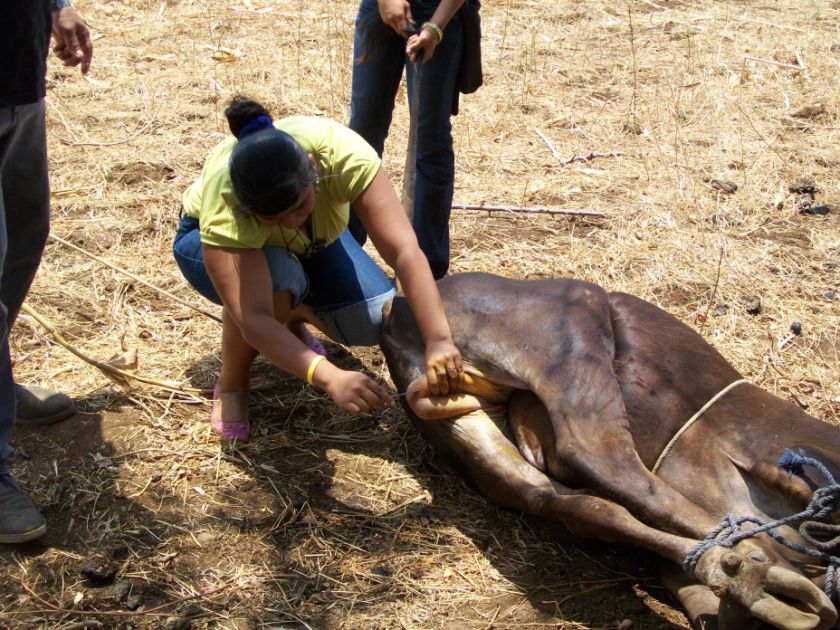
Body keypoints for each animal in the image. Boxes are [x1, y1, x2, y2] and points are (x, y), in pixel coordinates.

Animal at [382, 274, 840, 628]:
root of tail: (395, 312)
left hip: (473, 431)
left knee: (567, 501)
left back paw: (742, 577)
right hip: (572, 334)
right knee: (601, 459)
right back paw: (761, 571)